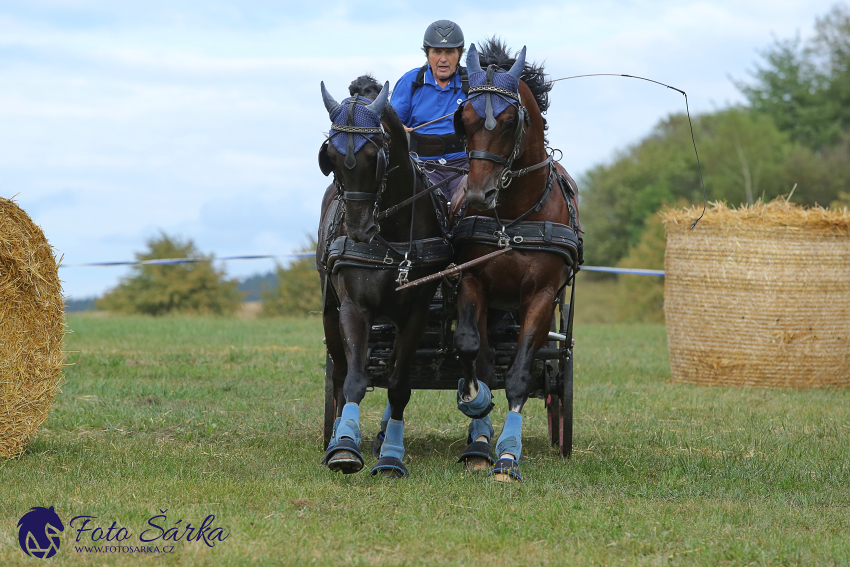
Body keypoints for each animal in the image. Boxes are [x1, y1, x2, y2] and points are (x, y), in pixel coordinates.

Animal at [314, 74, 454, 474]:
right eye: (330, 157)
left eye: (374, 156)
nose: (359, 229)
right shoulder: (353, 308)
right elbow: (355, 380)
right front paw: (344, 446)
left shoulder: (417, 312)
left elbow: (399, 385)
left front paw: (391, 453)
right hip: (329, 312)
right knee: (340, 372)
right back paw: (337, 435)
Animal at [448, 42, 580, 482]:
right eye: (464, 119)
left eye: (508, 122)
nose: (478, 194)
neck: (512, 217)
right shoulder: (473, 283)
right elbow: (473, 351)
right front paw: (477, 421)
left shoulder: (540, 296)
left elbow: (520, 374)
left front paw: (507, 456)